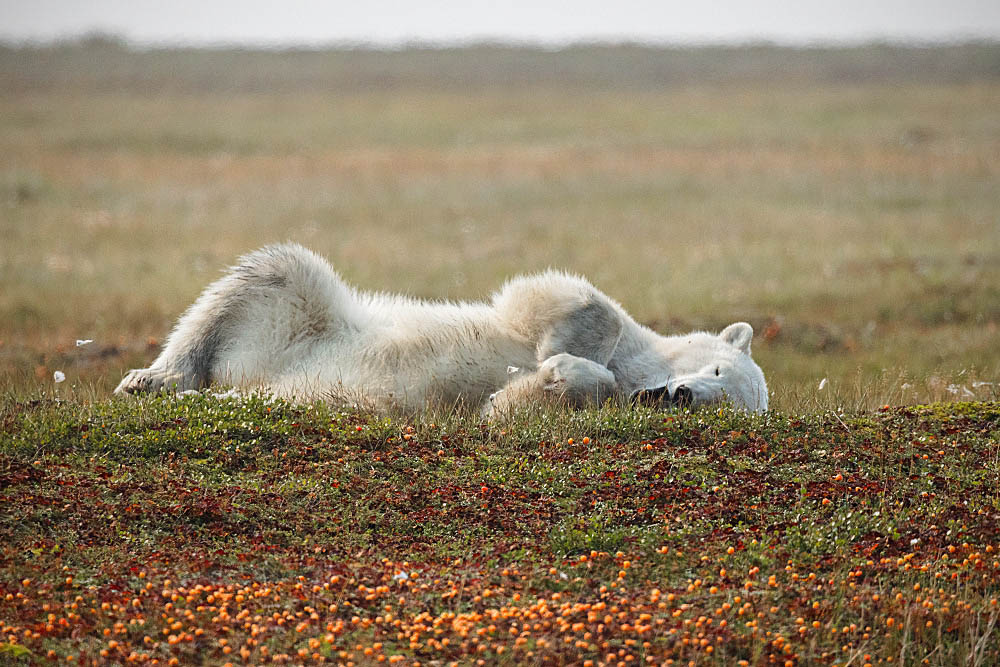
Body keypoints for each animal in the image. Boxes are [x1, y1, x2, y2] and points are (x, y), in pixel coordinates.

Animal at [113, 243, 768, 414]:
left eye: (728, 406)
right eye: (714, 368)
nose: (681, 397)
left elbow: (508, 410)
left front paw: (550, 378)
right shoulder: (606, 323)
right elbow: (561, 297)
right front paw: (563, 351)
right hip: (293, 324)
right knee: (274, 273)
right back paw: (152, 380)